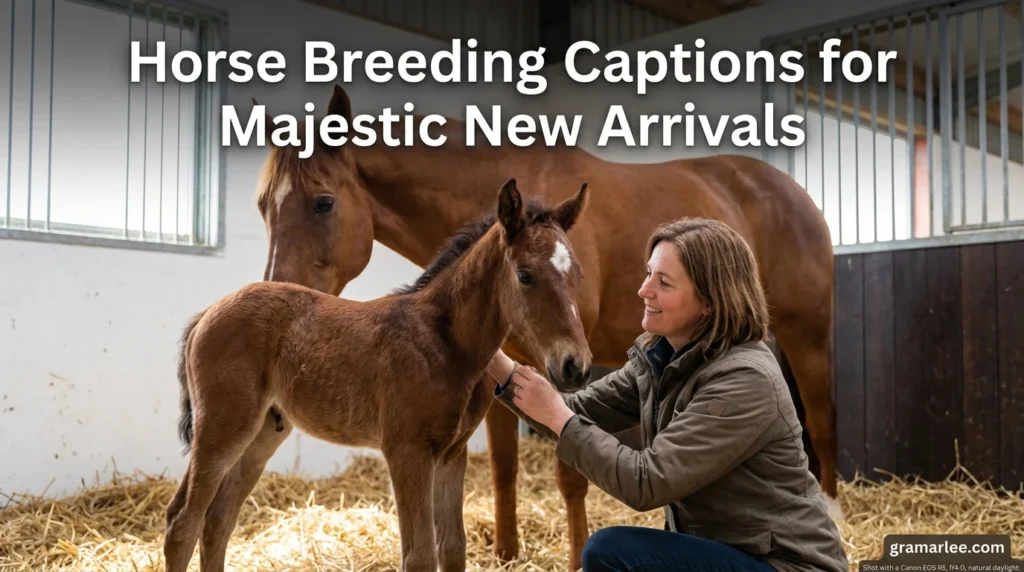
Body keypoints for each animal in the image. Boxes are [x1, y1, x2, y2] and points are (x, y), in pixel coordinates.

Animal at [162, 178, 594, 572]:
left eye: (577, 276)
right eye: (525, 275)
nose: (576, 366)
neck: (445, 342)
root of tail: (208, 312)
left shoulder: (452, 455)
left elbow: (453, 549)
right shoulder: (407, 451)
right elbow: (420, 556)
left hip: (263, 431)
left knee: (218, 520)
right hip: (222, 428)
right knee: (183, 523)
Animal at [253, 84, 841, 570]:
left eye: (324, 202)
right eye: (262, 207)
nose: (275, 292)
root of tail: (790, 190)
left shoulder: (564, 366)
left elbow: (570, 470)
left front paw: (577, 555)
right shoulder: (502, 367)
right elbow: (504, 468)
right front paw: (507, 553)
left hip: (809, 337)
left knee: (820, 422)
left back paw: (835, 512)